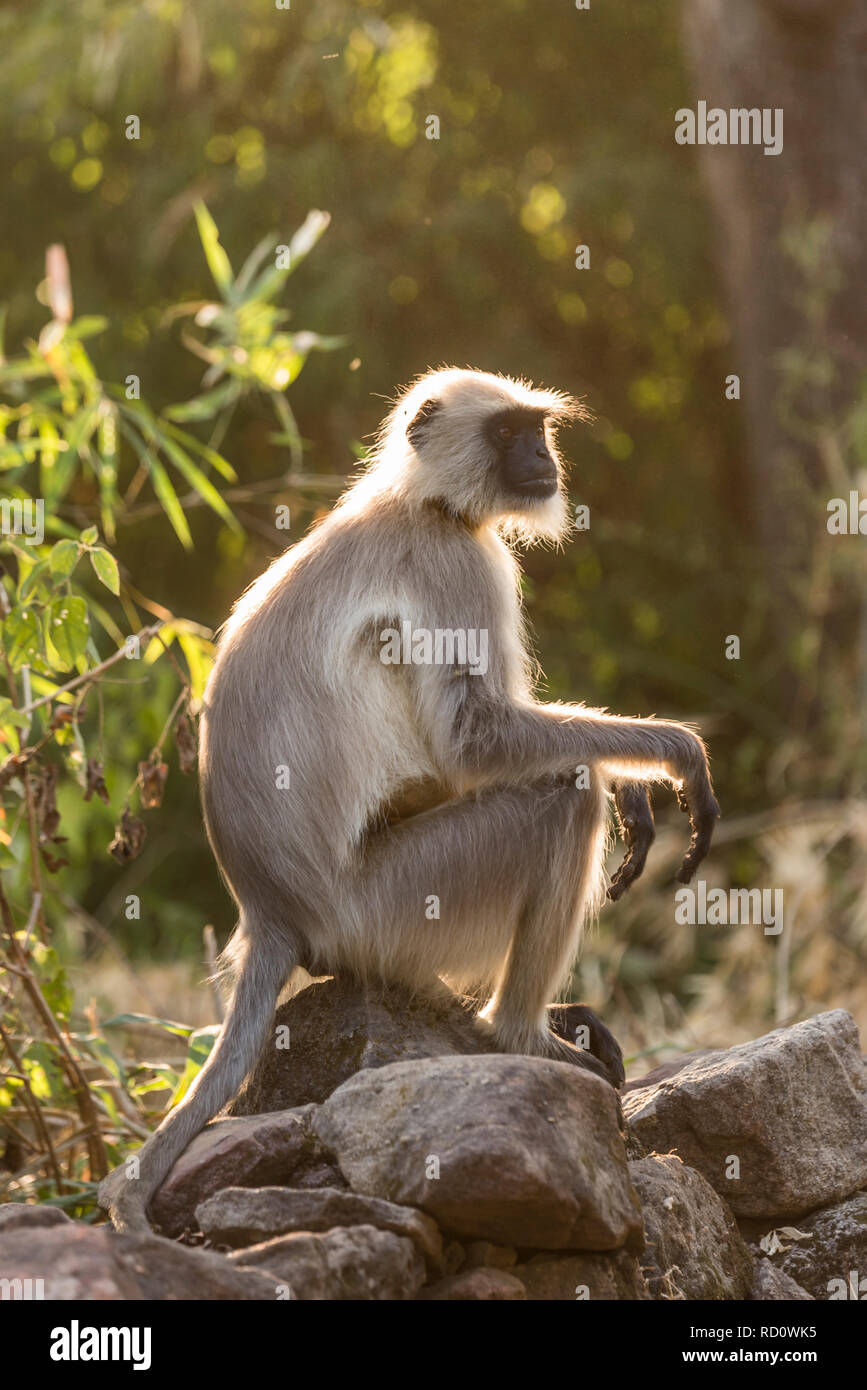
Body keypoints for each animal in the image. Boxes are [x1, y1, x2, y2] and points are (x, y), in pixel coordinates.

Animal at [100, 366, 716, 1228]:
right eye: (507, 433)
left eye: (536, 430)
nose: (540, 457)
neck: (421, 501)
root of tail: (268, 911)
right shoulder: (454, 559)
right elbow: (473, 742)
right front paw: (667, 755)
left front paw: (637, 780)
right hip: (389, 903)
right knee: (560, 794)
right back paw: (516, 1032)